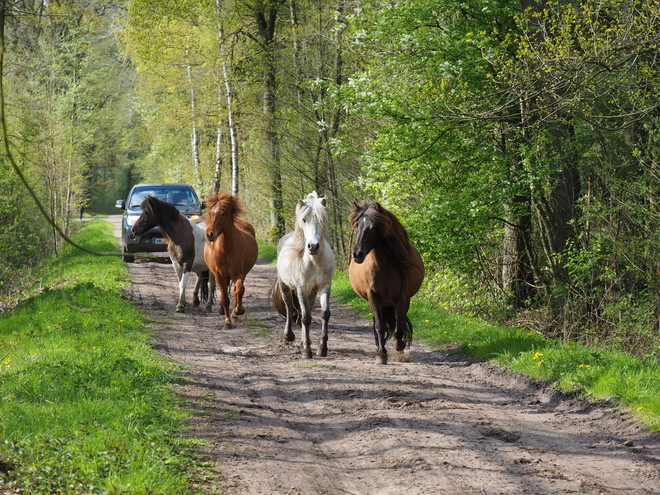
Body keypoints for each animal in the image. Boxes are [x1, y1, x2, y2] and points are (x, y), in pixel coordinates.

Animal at [204, 192, 258, 328]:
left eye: (223, 213)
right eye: (210, 213)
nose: (210, 234)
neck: (225, 250)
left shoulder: (238, 274)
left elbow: (239, 290)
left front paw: (238, 310)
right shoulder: (219, 276)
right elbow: (225, 298)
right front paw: (227, 322)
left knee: (236, 290)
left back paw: (235, 312)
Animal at [272, 192, 336, 358]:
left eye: (321, 219)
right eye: (304, 219)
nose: (313, 246)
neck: (313, 262)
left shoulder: (325, 286)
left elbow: (324, 314)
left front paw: (322, 348)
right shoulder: (301, 288)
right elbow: (306, 318)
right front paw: (307, 351)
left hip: (311, 291)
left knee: (305, 310)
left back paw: (301, 342)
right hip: (285, 286)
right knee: (289, 308)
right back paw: (289, 336)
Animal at [348, 201, 426, 364]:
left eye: (373, 228)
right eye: (357, 225)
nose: (357, 254)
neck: (384, 267)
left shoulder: (401, 298)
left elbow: (399, 327)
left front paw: (399, 346)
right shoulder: (373, 297)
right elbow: (380, 326)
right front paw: (381, 355)